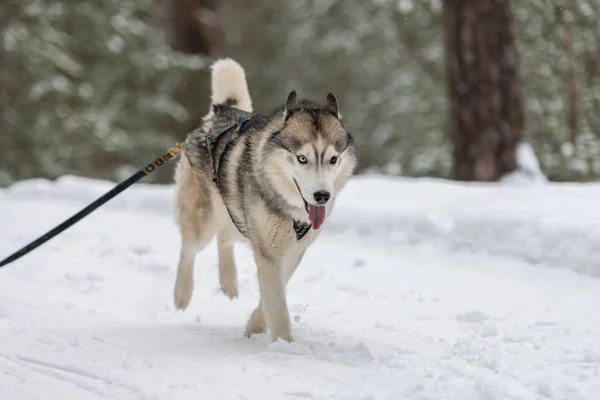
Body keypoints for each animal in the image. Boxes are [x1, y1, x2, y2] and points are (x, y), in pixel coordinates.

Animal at [171, 57, 356, 342]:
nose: (322, 196)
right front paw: (284, 344)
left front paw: (255, 328)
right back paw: (182, 293)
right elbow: (278, 308)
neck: (289, 211)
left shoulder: (292, 252)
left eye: (333, 159)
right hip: (204, 217)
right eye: (302, 158)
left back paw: (229, 282)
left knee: (224, 238)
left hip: (238, 217)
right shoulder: (269, 252)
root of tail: (223, 111)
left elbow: (272, 296)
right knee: (189, 248)